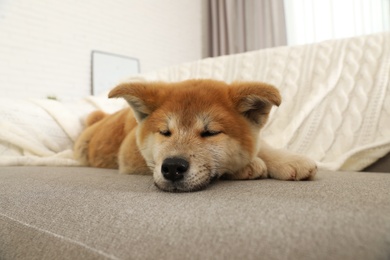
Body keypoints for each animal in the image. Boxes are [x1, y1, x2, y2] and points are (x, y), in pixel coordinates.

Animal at [74, 79, 316, 191]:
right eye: (165, 132)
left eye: (210, 133)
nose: (172, 167)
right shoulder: (129, 155)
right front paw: (248, 166)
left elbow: (262, 146)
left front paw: (288, 160)